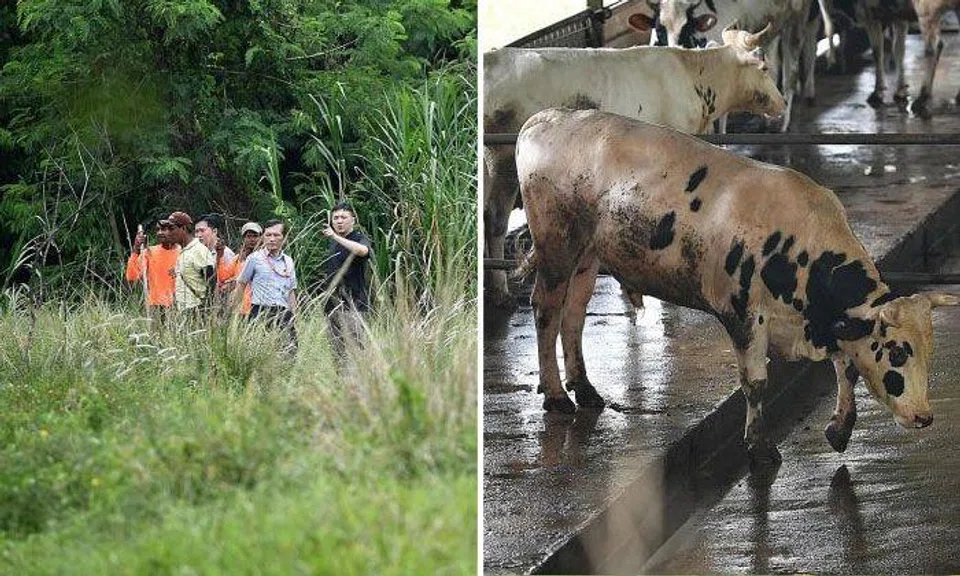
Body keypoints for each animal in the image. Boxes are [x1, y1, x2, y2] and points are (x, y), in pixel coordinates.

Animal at [516, 107, 959, 464]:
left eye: (928, 351)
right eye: (898, 353)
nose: (924, 417)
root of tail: (546, 118)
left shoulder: (826, 323)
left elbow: (846, 367)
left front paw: (839, 429)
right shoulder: (742, 314)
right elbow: (756, 383)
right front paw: (759, 446)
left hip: (587, 255)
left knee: (574, 313)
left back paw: (584, 388)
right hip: (557, 244)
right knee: (546, 309)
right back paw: (556, 395)